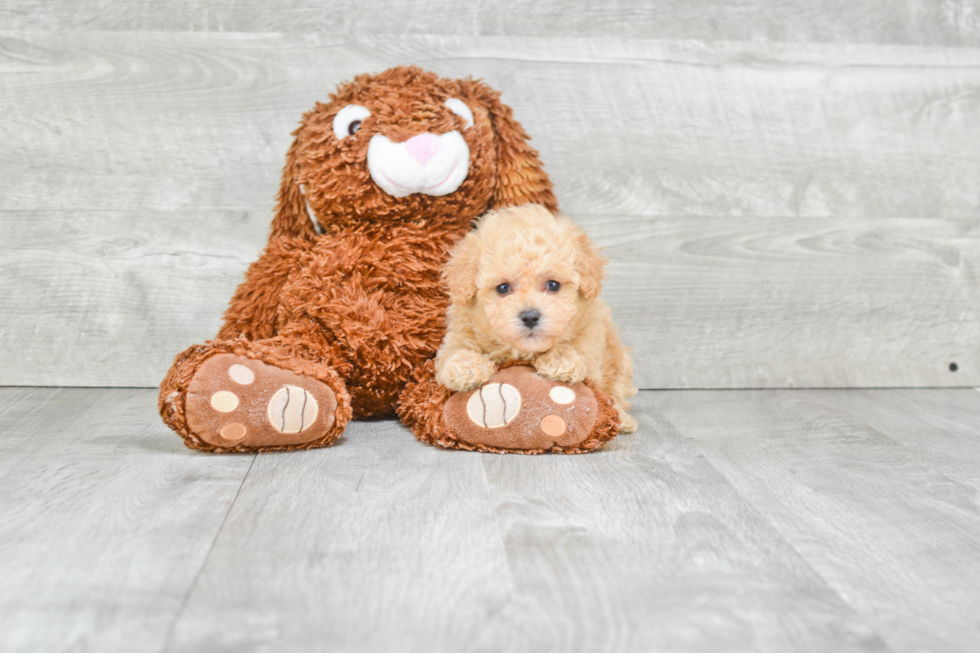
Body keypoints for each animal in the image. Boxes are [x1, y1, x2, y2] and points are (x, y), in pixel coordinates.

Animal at [434, 201, 636, 430]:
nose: (530, 317)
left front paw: (561, 360)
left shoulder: (592, 341)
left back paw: (622, 419)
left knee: (615, 391)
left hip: (618, 356)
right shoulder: (458, 335)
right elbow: (456, 352)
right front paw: (466, 367)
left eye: (553, 285)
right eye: (502, 288)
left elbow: (580, 352)